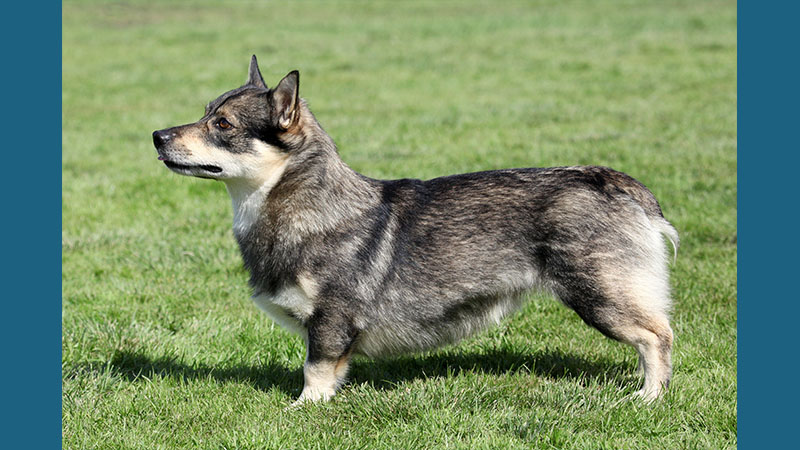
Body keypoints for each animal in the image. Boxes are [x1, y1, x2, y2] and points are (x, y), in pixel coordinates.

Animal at [152, 54, 676, 402]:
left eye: (222, 124)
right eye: (205, 111)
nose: (156, 135)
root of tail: (613, 182)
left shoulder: (330, 322)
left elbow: (315, 373)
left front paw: (303, 410)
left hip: (599, 294)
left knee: (657, 337)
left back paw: (648, 398)